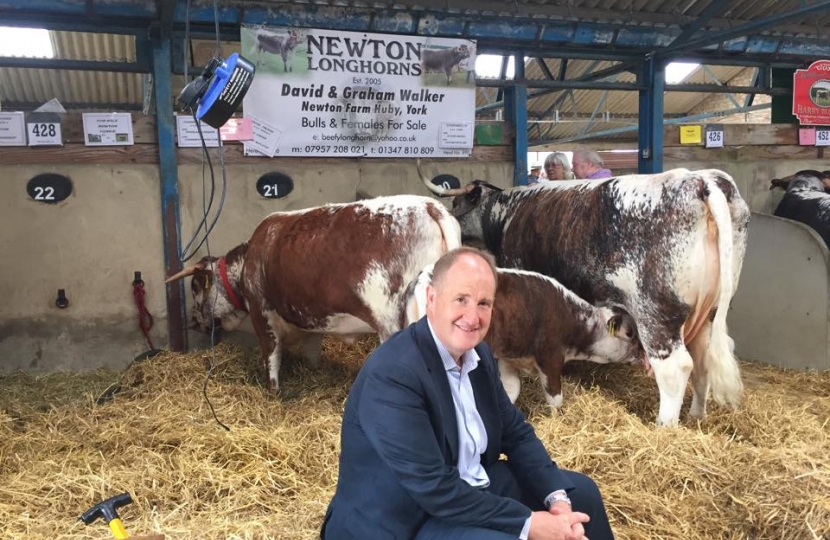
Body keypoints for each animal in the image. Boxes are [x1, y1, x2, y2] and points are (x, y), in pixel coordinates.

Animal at [167, 196, 462, 390]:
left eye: (195, 287)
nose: (194, 323)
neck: (250, 259)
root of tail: (428, 205)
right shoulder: (311, 316)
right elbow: (312, 350)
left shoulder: (261, 311)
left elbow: (271, 357)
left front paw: (273, 392)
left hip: (392, 324)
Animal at [406, 264, 640, 410]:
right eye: (630, 334)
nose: (642, 355)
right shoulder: (550, 357)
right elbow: (555, 398)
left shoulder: (508, 358)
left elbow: (511, 391)